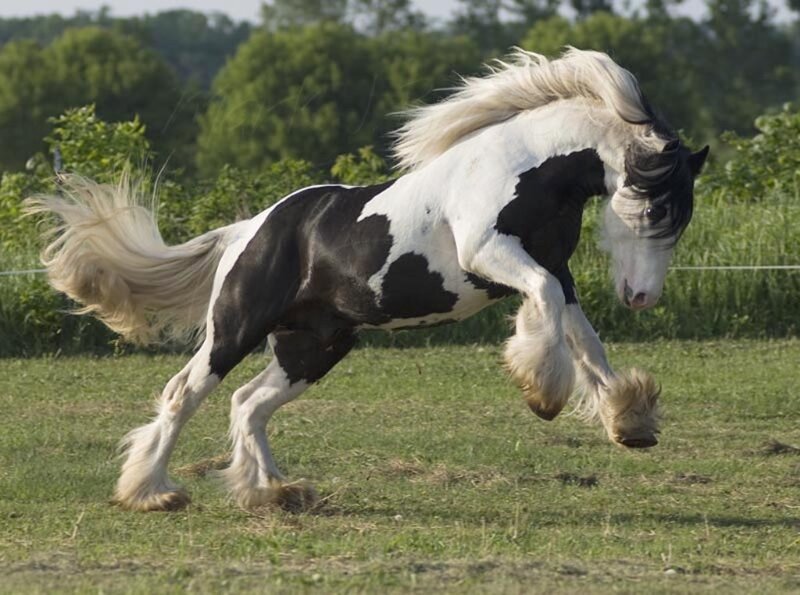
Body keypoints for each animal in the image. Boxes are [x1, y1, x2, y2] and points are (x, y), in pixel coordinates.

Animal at [28, 48, 709, 512]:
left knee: (247, 403)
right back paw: (152, 492)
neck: (522, 169)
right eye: (654, 209)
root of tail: (248, 230)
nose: (642, 298)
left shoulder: (555, 271)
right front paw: (542, 393)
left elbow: (583, 340)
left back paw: (275, 492)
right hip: (236, 328)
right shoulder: (490, 253)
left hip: (315, 345)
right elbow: (547, 317)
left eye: (680, 218)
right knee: (183, 394)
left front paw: (630, 422)